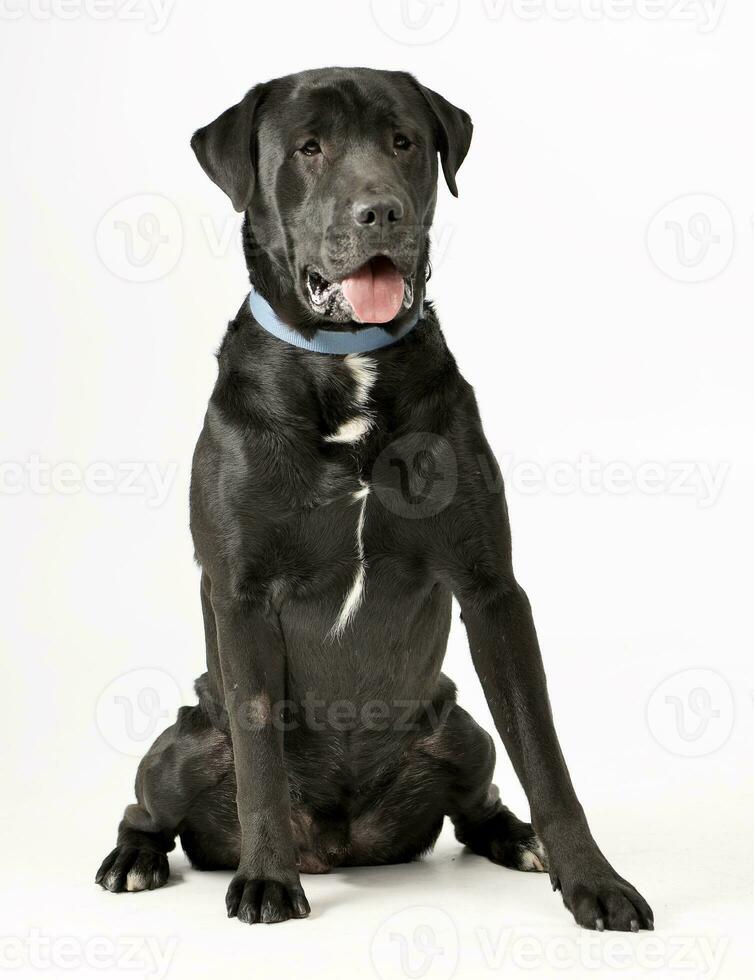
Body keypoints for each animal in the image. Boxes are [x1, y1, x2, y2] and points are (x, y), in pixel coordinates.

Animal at [97, 69, 652, 936]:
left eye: (403, 142)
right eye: (309, 147)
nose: (381, 211)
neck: (348, 363)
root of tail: (343, 841)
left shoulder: (493, 592)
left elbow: (544, 754)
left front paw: (593, 879)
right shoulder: (242, 597)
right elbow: (259, 759)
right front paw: (266, 878)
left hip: (458, 727)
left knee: (482, 793)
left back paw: (515, 837)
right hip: (180, 744)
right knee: (148, 804)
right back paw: (135, 858)